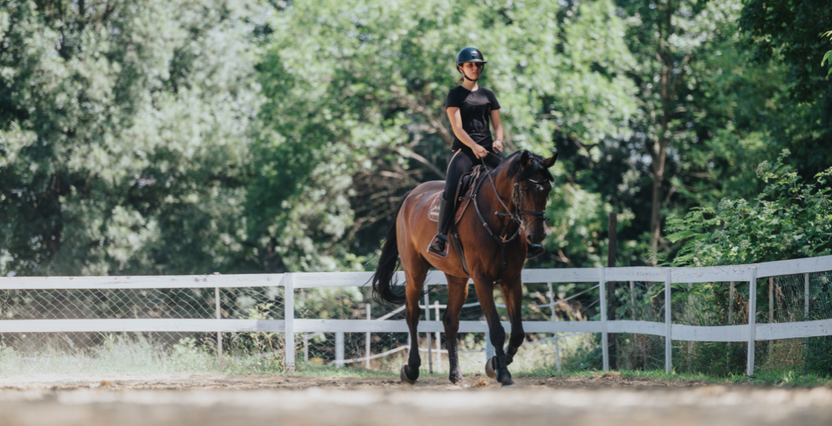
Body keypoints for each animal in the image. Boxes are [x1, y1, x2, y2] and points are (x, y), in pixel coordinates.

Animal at [371, 150, 557, 387]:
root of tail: (412, 194)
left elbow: (517, 333)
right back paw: (411, 369)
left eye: (547, 189)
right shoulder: (482, 279)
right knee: (412, 315)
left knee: (450, 321)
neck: (497, 220)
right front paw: (503, 373)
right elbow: (497, 330)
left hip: (457, 277)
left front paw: (494, 364)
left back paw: (456, 375)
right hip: (414, 271)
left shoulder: (512, 278)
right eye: (524, 189)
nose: (537, 235)